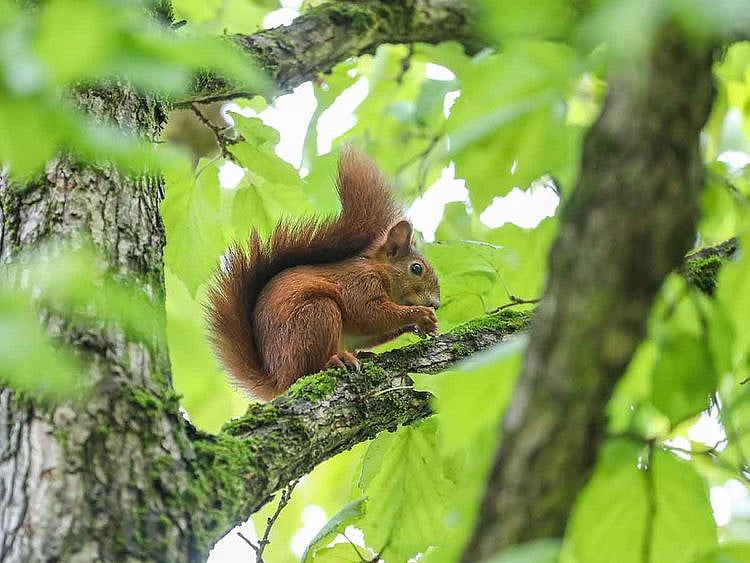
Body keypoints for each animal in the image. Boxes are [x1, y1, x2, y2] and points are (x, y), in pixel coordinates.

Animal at [205, 149, 441, 401]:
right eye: (416, 268)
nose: (436, 304)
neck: (381, 271)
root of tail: (278, 380)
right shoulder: (359, 284)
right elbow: (370, 314)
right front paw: (419, 315)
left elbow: (371, 331)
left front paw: (421, 326)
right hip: (316, 315)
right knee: (309, 369)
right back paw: (336, 360)